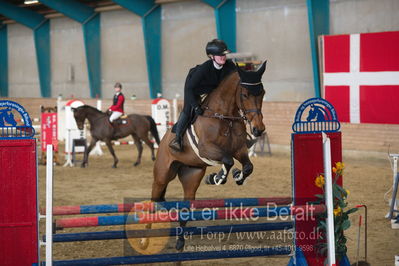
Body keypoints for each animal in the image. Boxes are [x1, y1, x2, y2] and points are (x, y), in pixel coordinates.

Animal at [145, 61, 268, 250]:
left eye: (262, 93)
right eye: (245, 94)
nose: (258, 129)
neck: (225, 117)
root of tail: (164, 141)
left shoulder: (239, 149)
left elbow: (247, 166)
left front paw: (235, 176)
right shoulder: (207, 149)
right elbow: (228, 161)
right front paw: (217, 177)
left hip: (191, 176)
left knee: (186, 207)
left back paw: (180, 241)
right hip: (162, 175)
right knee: (153, 200)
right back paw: (144, 239)